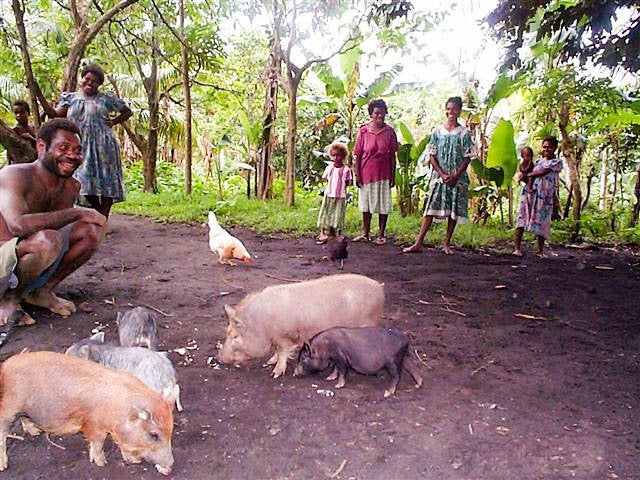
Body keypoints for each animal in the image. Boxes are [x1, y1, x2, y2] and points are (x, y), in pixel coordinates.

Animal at [0, 350, 175, 474]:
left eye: (170, 433)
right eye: (153, 435)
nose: (171, 463)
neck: (116, 410)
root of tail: (5, 366)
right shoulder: (94, 424)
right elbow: (98, 442)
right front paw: (102, 463)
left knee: (24, 418)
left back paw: (35, 432)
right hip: (8, 407)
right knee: (2, 432)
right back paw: (4, 466)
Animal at [215, 274, 384, 378]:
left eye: (235, 336)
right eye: (226, 332)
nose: (219, 358)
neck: (261, 324)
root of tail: (379, 286)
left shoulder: (283, 337)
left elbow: (282, 352)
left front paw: (275, 374)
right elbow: (278, 352)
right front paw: (269, 362)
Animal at [292, 326, 422, 398]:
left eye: (303, 358)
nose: (294, 373)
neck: (324, 347)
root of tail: (405, 337)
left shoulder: (340, 357)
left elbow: (341, 370)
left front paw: (337, 386)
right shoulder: (336, 358)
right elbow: (335, 369)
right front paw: (329, 378)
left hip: (392, 362)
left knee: (397, 376)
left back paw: (387, 393)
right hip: (405, 357)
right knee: (413, 368)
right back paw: (418, 385)